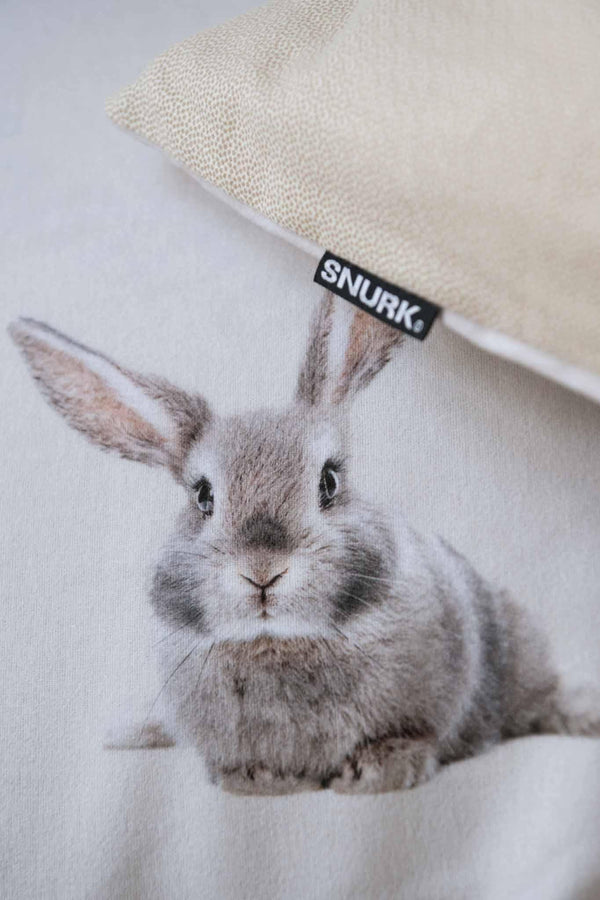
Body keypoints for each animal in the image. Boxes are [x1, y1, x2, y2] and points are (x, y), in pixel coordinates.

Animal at [9, 293, 600, 795]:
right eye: (203, 497)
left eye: (329, 482)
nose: (263, 571)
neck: (281, 641)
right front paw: (259, 781)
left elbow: (414, 737)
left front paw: (376, 773)